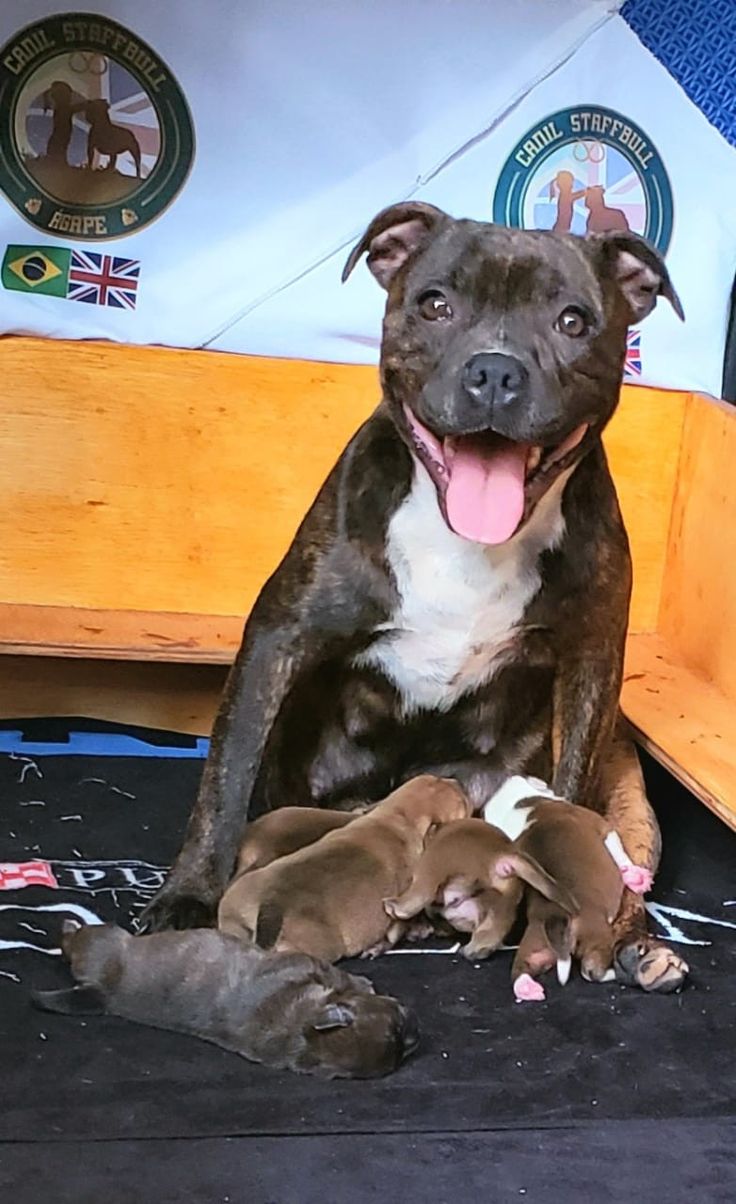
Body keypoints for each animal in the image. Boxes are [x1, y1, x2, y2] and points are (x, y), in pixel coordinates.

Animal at [31, 919, 416, 1083]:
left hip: (102, 945)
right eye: (396, 1021)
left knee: (72, 944)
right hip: (105, 939)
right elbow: (338, 974)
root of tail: (101, 992)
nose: (415, 1036)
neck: (303, 1028)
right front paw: (363, 982)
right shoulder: (304, 964)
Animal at [219, 775, 472, 963]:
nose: (459, 782)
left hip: (233, 919)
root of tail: (271, 905)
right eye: (462, 802)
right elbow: (396, 928)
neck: (399, 817)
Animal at [383, 818, 578, 958]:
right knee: (495, 924)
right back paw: (477, 949)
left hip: (432, 865)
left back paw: (394, 906)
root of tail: (503, 853)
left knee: (418, 896)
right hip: (502, 901)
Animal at [486, 775, 655, 1001]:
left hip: (537, 939)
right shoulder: (604, 828)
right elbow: (620, 854)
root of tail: (557, 916)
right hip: (597, 934)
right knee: (590, 970)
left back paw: (527, 988)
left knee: (521, 967)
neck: (515, 805)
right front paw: (636, 877)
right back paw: (615, 974)